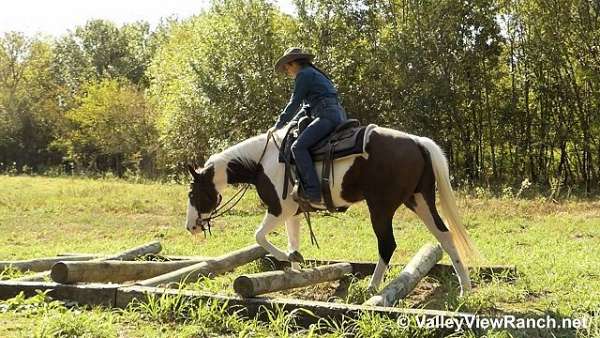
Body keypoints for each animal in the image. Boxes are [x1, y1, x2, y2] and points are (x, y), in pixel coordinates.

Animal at [185, 125, 480, 296]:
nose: (190, 227)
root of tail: (418, 142)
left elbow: (259, 236)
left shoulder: (279, 209)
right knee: (445, 236)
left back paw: (372, 286)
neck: (261, 162)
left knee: (387, 244)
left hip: (381, 207)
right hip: (420, 200)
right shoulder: (292, 214)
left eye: (193, 193)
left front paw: (289, 259)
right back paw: (465, 289)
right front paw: (295, 270)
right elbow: (293, 242)